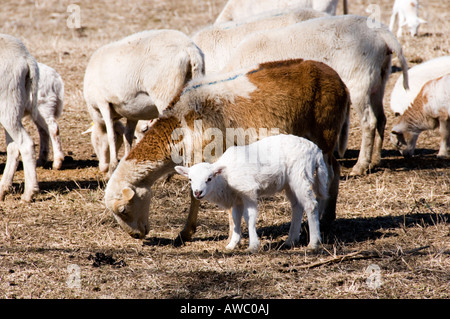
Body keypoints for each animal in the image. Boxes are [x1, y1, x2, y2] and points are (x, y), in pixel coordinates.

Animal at [83, 29, 205, 175]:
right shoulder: (132, 112)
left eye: (95, 141)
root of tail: (189, 48)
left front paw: (112, 168)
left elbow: (111, 136)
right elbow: (128, 136)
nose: (102, 168)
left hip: (166, 93)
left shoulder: (103, 103)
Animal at [103, 58, 350, 241]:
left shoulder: (212, 158)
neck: (180, 124)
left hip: (325, 134)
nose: (136, 235)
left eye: (123, 210)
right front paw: (188, 233)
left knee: (331, 173)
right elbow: (195, 194)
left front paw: (218, 235)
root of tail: (338, 80)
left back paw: (325, 220)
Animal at [175, 134, 326, 254]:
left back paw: (314, 243)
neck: (225, 178)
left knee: (311, 205)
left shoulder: (248, 190)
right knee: (297, 206)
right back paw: (291, 240)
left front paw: (253, 246)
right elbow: (236, 219)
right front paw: (232, 244)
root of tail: (316, 149)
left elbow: (249, 217)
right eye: (190, 179)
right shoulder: (237, 198)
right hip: (290, 182)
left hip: (300, 173)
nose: (197, 192)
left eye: (209, 178)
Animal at [223, 14, 410, 178]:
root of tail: (382, 33)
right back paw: (375, 161)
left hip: (360, 83)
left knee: (369, 122)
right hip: (379, 82)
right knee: (381, 119)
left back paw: (361, 165)